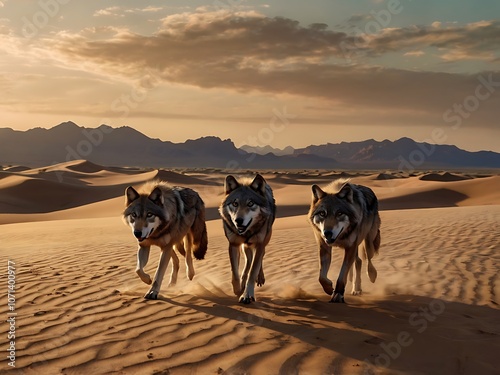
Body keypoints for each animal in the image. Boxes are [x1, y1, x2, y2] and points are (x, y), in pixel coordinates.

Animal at [220, 175, 278, 304]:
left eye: (250, 203)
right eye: (235, 203)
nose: (238, 221)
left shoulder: (259, 244)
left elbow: (253, 272)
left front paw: (247, 295)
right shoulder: (234, 244)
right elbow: (235, 272)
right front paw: (238, 290)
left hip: (263, 242)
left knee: (258, 259)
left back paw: (259, 278)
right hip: (246, 247)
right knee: (248, 261)